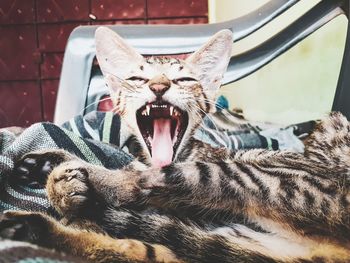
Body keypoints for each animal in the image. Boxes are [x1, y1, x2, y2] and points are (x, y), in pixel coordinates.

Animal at [0, 27, 348, 263]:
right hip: (222, 240)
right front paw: (50, 161)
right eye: (137, 79)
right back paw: (32, 225)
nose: (159, 85)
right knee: (134, 246)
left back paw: (63, 191)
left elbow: (131, 176)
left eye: (185, 80)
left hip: (265, 176)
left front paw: (63, 175)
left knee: (140, 187)